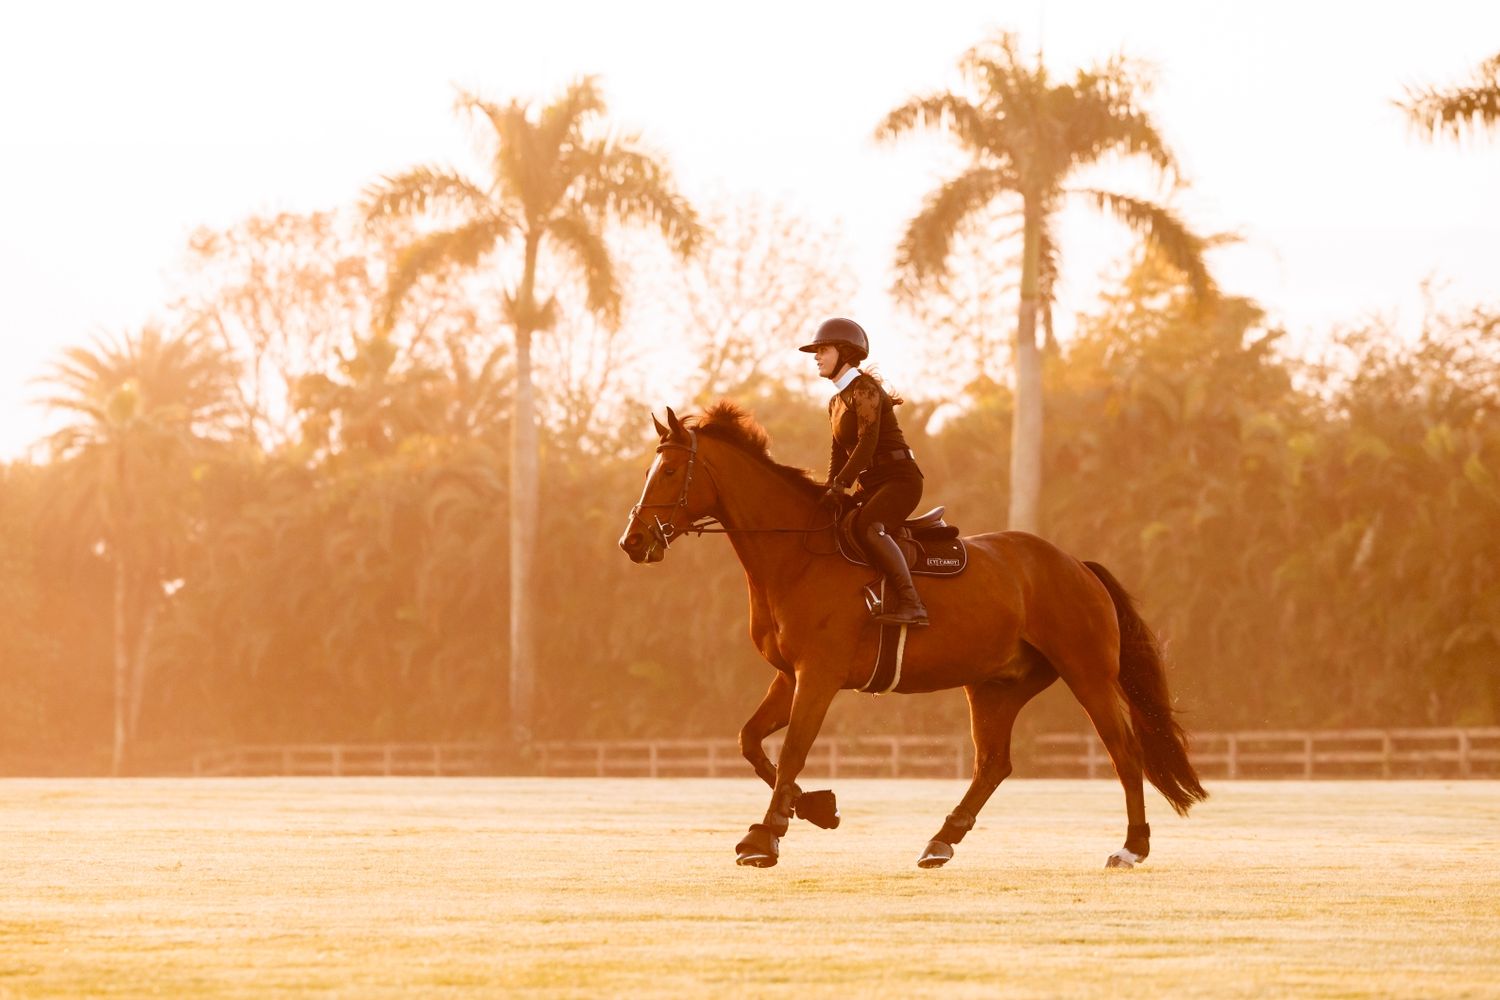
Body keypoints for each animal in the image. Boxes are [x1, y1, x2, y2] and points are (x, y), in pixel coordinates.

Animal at [617, 402, 1206, 869]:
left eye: (669, 470)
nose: (633, 541)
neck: (798, 554)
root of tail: (1076, 565)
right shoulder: (790, 676)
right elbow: (751, 742)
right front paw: (817, 809)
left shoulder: (818, 676)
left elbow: (790, 753)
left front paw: (766, 838)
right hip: (995, 687)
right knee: (994, 764)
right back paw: (941, 841)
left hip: (1087, 674)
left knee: (1123, 752)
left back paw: (1131, 847)